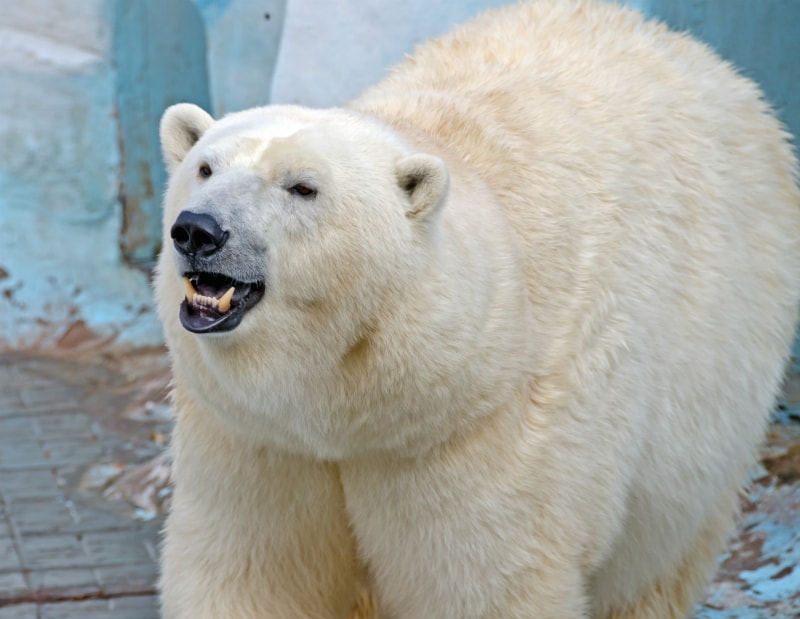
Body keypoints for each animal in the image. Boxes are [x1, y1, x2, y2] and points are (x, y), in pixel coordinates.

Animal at [154, 1, 800, 618]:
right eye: (205, 167)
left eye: (302, 188)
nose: (198, 230)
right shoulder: (258, 440)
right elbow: (252, 572)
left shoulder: (479, 434)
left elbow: (483, 585)